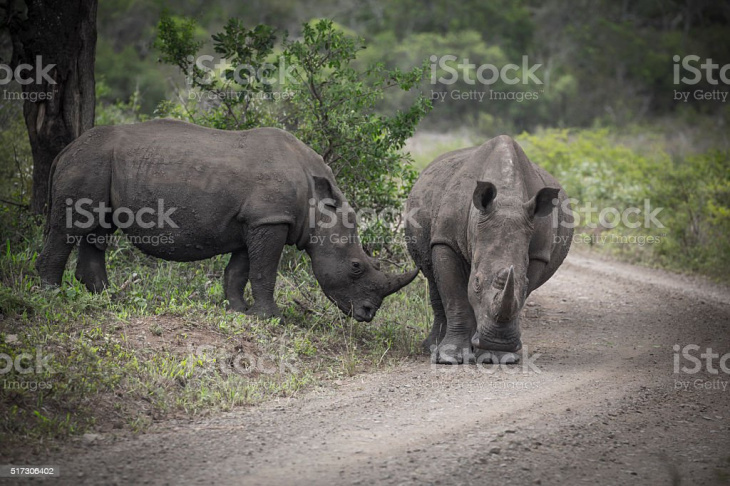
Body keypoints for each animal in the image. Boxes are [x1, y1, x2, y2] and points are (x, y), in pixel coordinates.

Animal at [37, 119, 418, 320]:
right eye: (356, 266)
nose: (367, 313)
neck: (317, 204)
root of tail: (64, 151)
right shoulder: (270, 219)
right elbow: (264, 271)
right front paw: (271, 317)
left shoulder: (253, 222)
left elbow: (239, 271)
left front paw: (240, 311)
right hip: (89, 163)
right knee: (69, 228)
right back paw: (52, 295)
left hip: (100, 165)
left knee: (98, 230)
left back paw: (108, 299)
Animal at [404, 135, 568, 362]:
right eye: (477, 283)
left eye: (526, 283)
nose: (498, 341)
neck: (507, 197)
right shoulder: (446, 240)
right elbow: (455, 297)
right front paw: (449, 358)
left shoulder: (538, 254)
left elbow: (520, 292)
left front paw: (497, 356)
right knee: (432, 278)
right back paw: (432, 347)